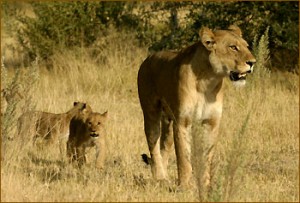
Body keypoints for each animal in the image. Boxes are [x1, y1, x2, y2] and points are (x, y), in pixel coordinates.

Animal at [138, 25, 255, 187]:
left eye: (246, 46)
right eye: (233, 47)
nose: (252, 62)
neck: (208, 81)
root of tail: (148, 58)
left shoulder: (211, 122)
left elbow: (207, 157)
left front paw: (205, 185)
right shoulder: (182, 122)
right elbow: (183, 157)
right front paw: (185, 186)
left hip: (168, 120)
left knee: (165, 146)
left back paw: (165, 178)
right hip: (151, 112)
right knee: (153, 144)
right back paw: (160, 177)